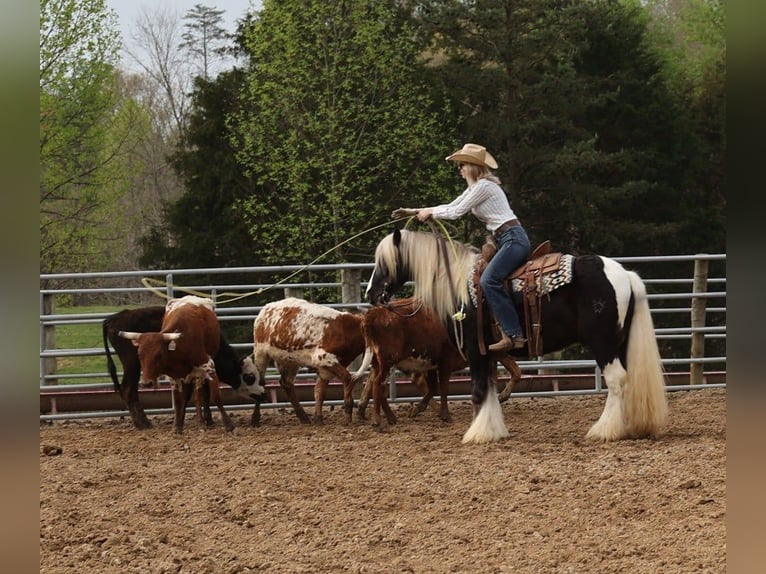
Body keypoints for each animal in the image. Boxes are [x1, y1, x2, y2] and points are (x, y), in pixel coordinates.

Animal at [115, 296, 268, 436]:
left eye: (159, 354)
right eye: (139, 354)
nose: (263, 394)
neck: (180, 347)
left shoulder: (208, 367)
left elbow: (214, 397)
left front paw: (228, 426)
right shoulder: (176, 376)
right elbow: (179, 400)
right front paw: (177, 426)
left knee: (198, 394)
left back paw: (201, 422)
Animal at [352, 302, 520, 432]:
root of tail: (373, 314)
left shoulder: (432, 364)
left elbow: (434, 388)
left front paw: (418, 409)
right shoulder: (445, 362)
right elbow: (443, 387)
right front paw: (445, 414)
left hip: (378, 363)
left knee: (379, 387)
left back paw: (391, 417)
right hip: (387, 362)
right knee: (378, 385)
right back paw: (377, 421)